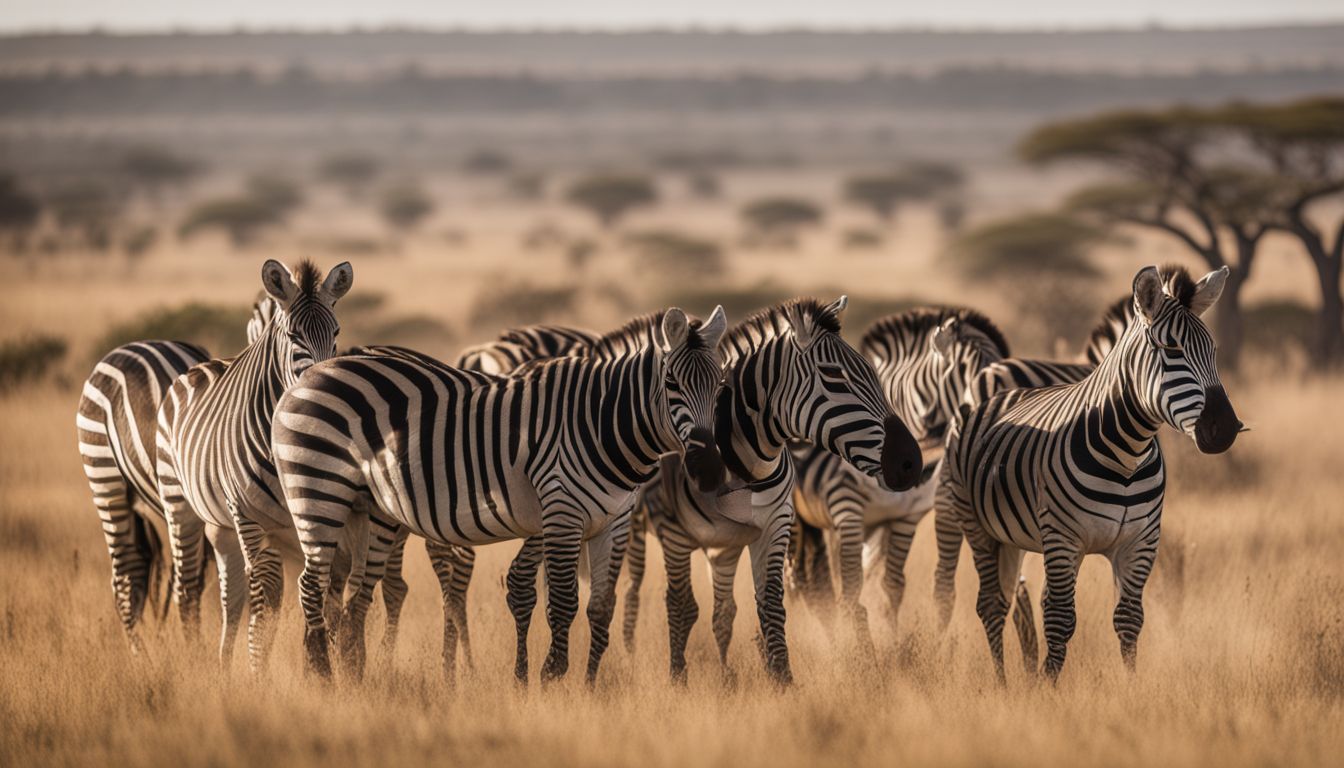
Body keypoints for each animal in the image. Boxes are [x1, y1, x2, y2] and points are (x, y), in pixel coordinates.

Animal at [155, 259, 353, 668]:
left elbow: (317, 587)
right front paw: (259, 671)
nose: (325, 388)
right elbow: (266, 601)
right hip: (183, 506)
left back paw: (224, 667)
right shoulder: (248, 518)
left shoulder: (315, 517)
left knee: (232, 596)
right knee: (205, 588)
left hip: (222, 527)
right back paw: (208, 661)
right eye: (293, 335)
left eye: (337, 332)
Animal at [270, 306, 727, 681]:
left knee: (354, 593)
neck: (603, 423)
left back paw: (352, 673)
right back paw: (321, 675)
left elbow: (600, 607)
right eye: (671, 382)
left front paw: (590, 686)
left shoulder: (612, 522)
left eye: (722, 382)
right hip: (317, 489)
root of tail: (314, 373)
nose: (708, 469)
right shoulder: (562, 512)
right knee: (312, 583)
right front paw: (552, 678)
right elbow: (563, 599)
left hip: (369, 508)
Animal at [618, 297, 924, 684]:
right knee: (631, 593)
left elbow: (771, 605)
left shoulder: (776, 525)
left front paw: (782, 679)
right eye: (834, 376)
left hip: (724, 545)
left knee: (723, 610)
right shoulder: (673, 532)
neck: (743, 463)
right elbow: (680, 606)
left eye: (872, 372)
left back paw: (725, 675)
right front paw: (678, 682)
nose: (912, 462)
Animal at [938, 265, 1240, 680]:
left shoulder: (1139, 542)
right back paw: (1001, 684)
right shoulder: (1064, 539)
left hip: (1011, 536)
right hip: (977, 525)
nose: (1225, 429)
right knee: (991, 605)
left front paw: (1130, 689)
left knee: (1009, 599)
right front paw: (1046, 686)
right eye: (1172, 350)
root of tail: (994, 386)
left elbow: (1129, 619)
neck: (1127, 452)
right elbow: (1060, 619)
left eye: (1213, 352)